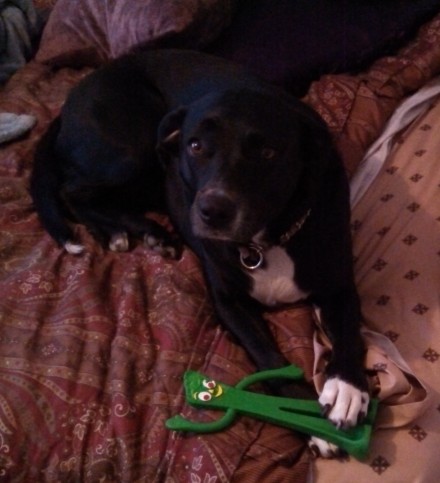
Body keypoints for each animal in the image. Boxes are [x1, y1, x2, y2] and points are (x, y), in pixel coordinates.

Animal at [30, 49, 368, 458]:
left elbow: (349, 331)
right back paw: (137, 231)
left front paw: (347, 387)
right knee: (72, 190)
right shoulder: (228, 303)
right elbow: (268, 355)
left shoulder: (338, 284)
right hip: (134, 151)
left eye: (268, 152)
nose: (212, 211)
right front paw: (305, 418)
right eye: (195, 146)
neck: (265, 241)